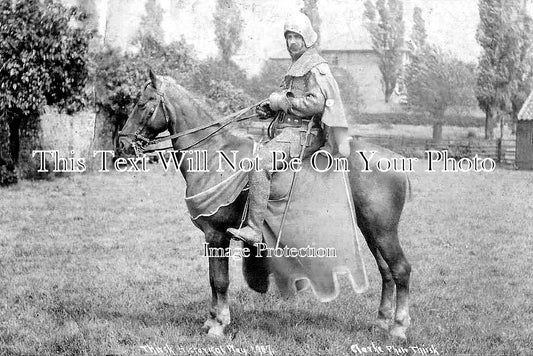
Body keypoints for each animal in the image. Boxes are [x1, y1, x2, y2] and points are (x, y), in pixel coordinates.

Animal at [118, 69, 414, 340]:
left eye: (142, 103)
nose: (122, 143)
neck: (215, 156)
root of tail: (396, 160)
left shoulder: (216, 235)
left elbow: (219, 280)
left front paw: (218, 325)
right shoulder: (212, 237)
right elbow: (213, 280)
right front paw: (212, 320)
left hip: (382, 230)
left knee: (400, 269)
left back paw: (399, 328)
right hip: (370, 229)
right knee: (386, 270)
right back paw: (382, 321)